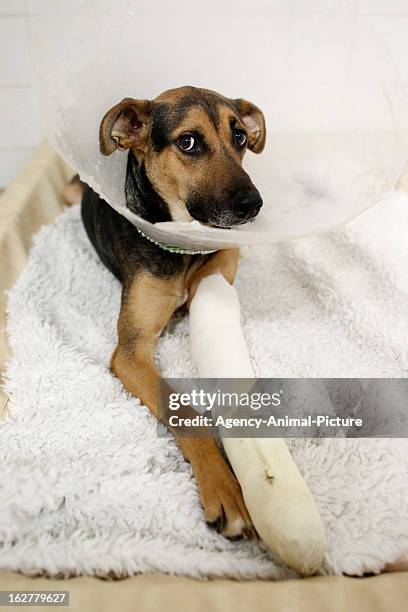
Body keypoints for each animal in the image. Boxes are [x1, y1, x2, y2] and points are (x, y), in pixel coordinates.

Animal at [77, 87, 266, 540]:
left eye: (239, 137)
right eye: (188, 142)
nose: (253, 204)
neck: (181, 247)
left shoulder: (221, 265)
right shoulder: (131, 352)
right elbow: (184, 412)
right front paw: (224, 486)